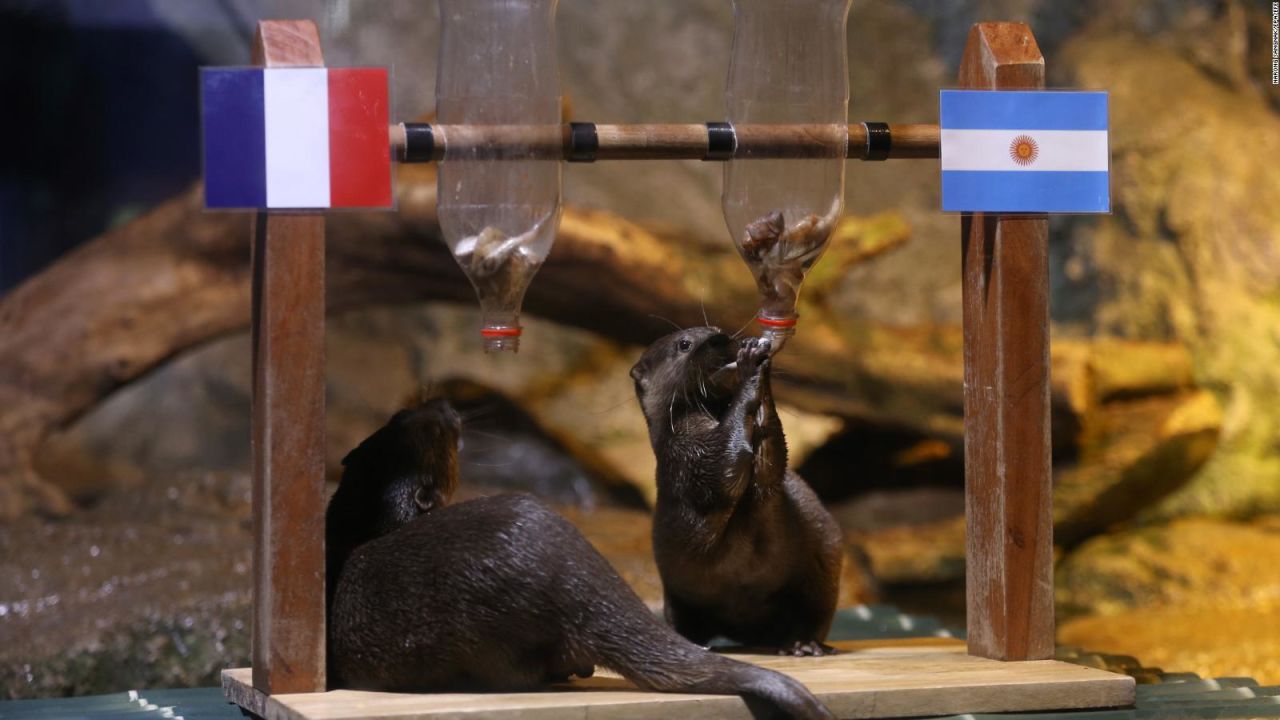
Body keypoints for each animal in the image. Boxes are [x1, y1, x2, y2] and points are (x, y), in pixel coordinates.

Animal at [627, 327, 839, 653]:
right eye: (684, 344)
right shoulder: (687, 454)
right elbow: (724, 465)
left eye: (716, 330)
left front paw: (758, 358)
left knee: (813, 612)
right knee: (682, 620)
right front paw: (751, 365)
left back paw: (802, 643)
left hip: (821, 564)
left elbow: (770, 461)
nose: (719, 339)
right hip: (675, 591)